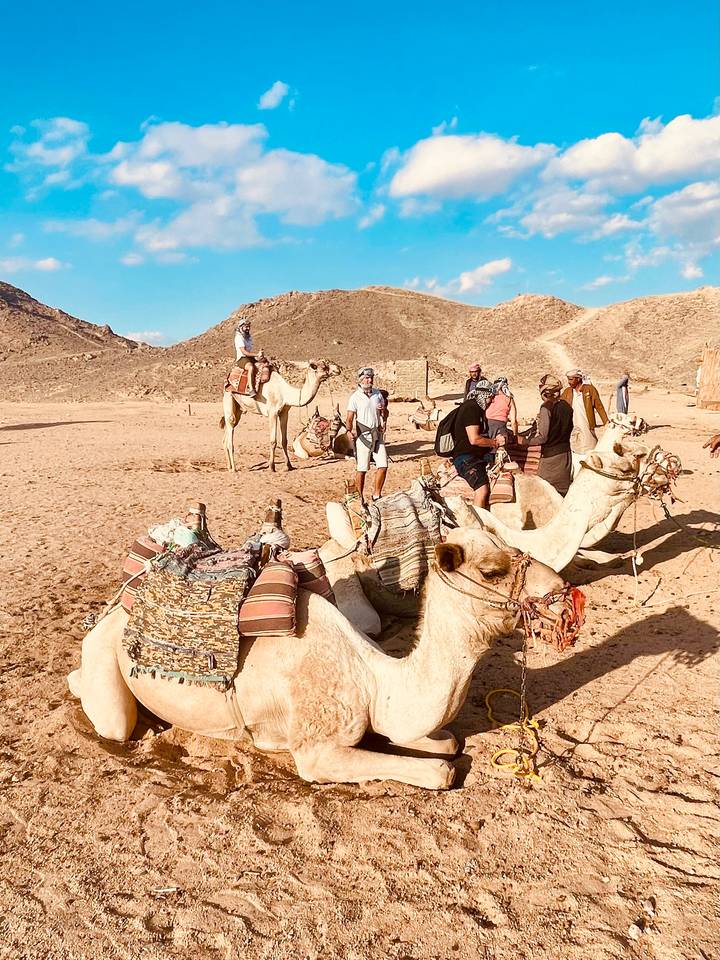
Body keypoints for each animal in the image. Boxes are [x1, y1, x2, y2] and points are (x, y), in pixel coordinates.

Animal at [67, 528, 574, 788]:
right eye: (492, 570)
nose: (561, 592)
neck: (374, 679)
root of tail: (116, 607)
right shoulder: (316, 749)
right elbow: (441, 770)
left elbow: (446, 743)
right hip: (106, 664)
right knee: (110, 718)